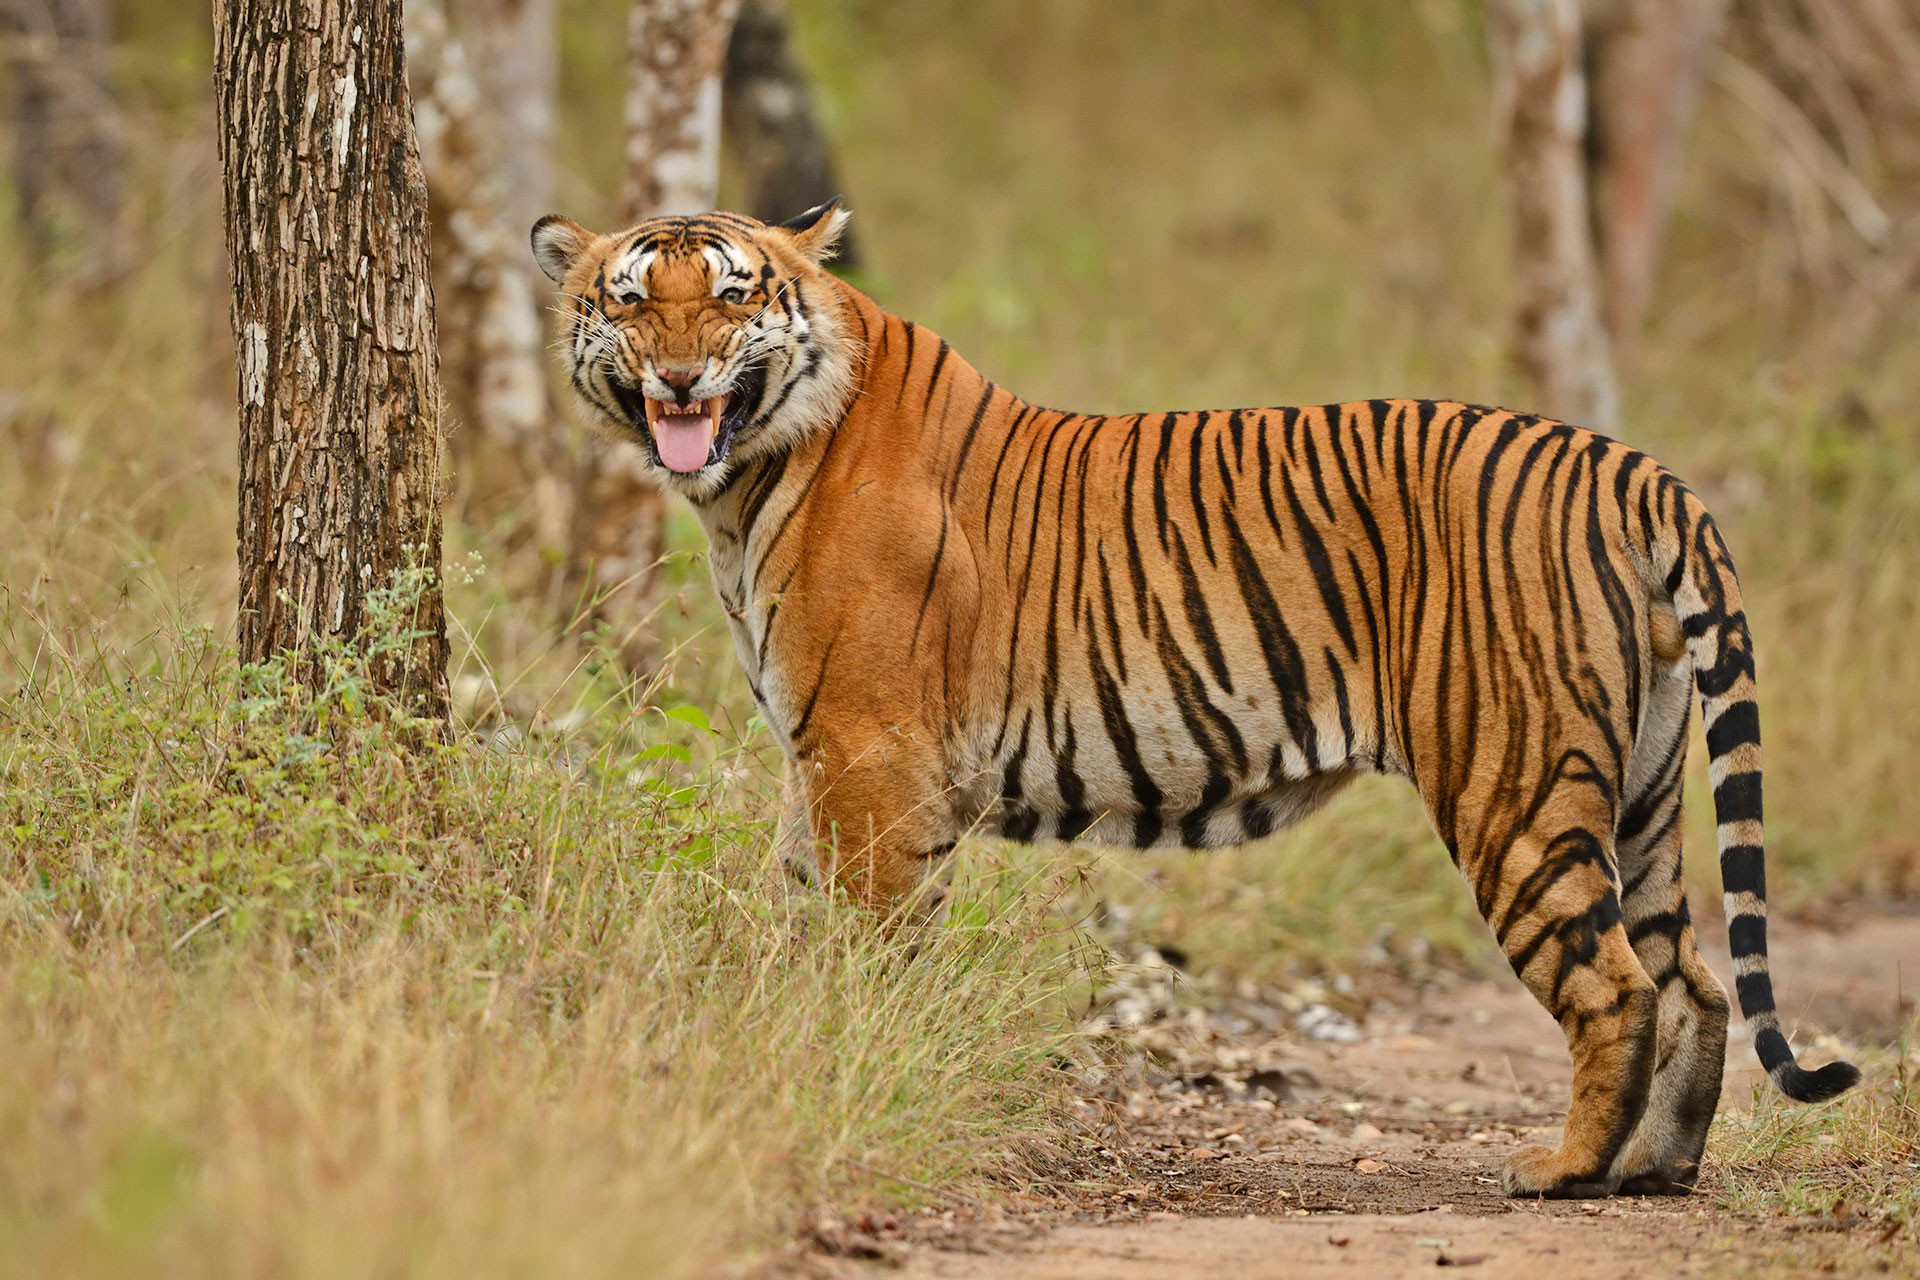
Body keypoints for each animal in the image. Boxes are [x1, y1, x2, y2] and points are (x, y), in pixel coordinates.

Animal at [531, 200, 1858, 1199]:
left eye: (733, 296)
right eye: (634, 300)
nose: (681, 376)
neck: (749, 476)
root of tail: (1623, 462)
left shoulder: (866, 752)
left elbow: (867, 936)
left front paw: (856, 1051)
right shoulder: (828, 759)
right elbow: (805, 915)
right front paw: (809, 1044)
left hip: (1517, 782)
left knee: (1617, 981)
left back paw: (1564, 1169)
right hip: (1644, 784)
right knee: (1692, 980)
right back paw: (1657, 1168)